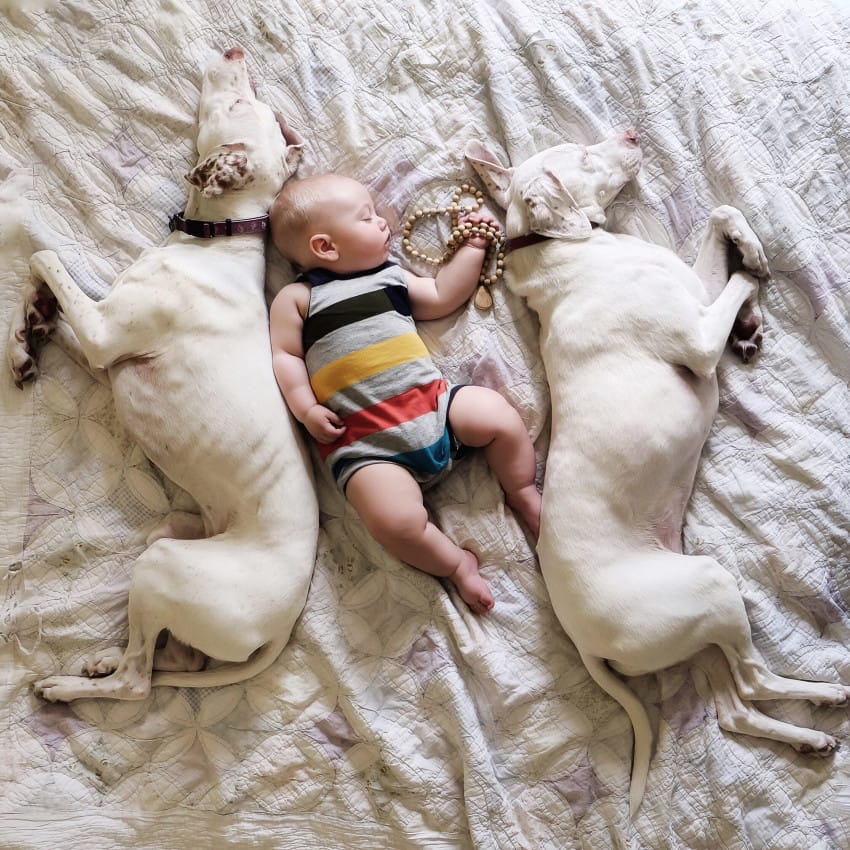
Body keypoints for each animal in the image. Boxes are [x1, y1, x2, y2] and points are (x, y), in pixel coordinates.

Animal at [5, 49, 318, 704]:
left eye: (236, 104)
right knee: (174, 658)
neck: (216, 244)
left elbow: (43, 256)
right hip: (168, 539)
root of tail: (283, 626)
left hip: (161, 567)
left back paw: (67, 685)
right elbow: (50, 300)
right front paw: (28, 337)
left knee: (139, 682)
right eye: (252, 103)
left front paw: (28, 322)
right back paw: (101, 659)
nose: (235, 51)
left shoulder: (104, 337)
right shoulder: (104, 353)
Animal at [468, 131, 844, 816]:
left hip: (699, 629)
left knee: (734, 708)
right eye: (581, 156)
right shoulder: (696, 339)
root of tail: (585, 642)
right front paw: (754, 272)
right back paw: (827, 697)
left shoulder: (692, 282)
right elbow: (736, 282)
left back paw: (807, 738)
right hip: (710, 587)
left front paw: (749, 292)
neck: (568, 248)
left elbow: (720, 214)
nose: (631, 135)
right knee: (752, 681)